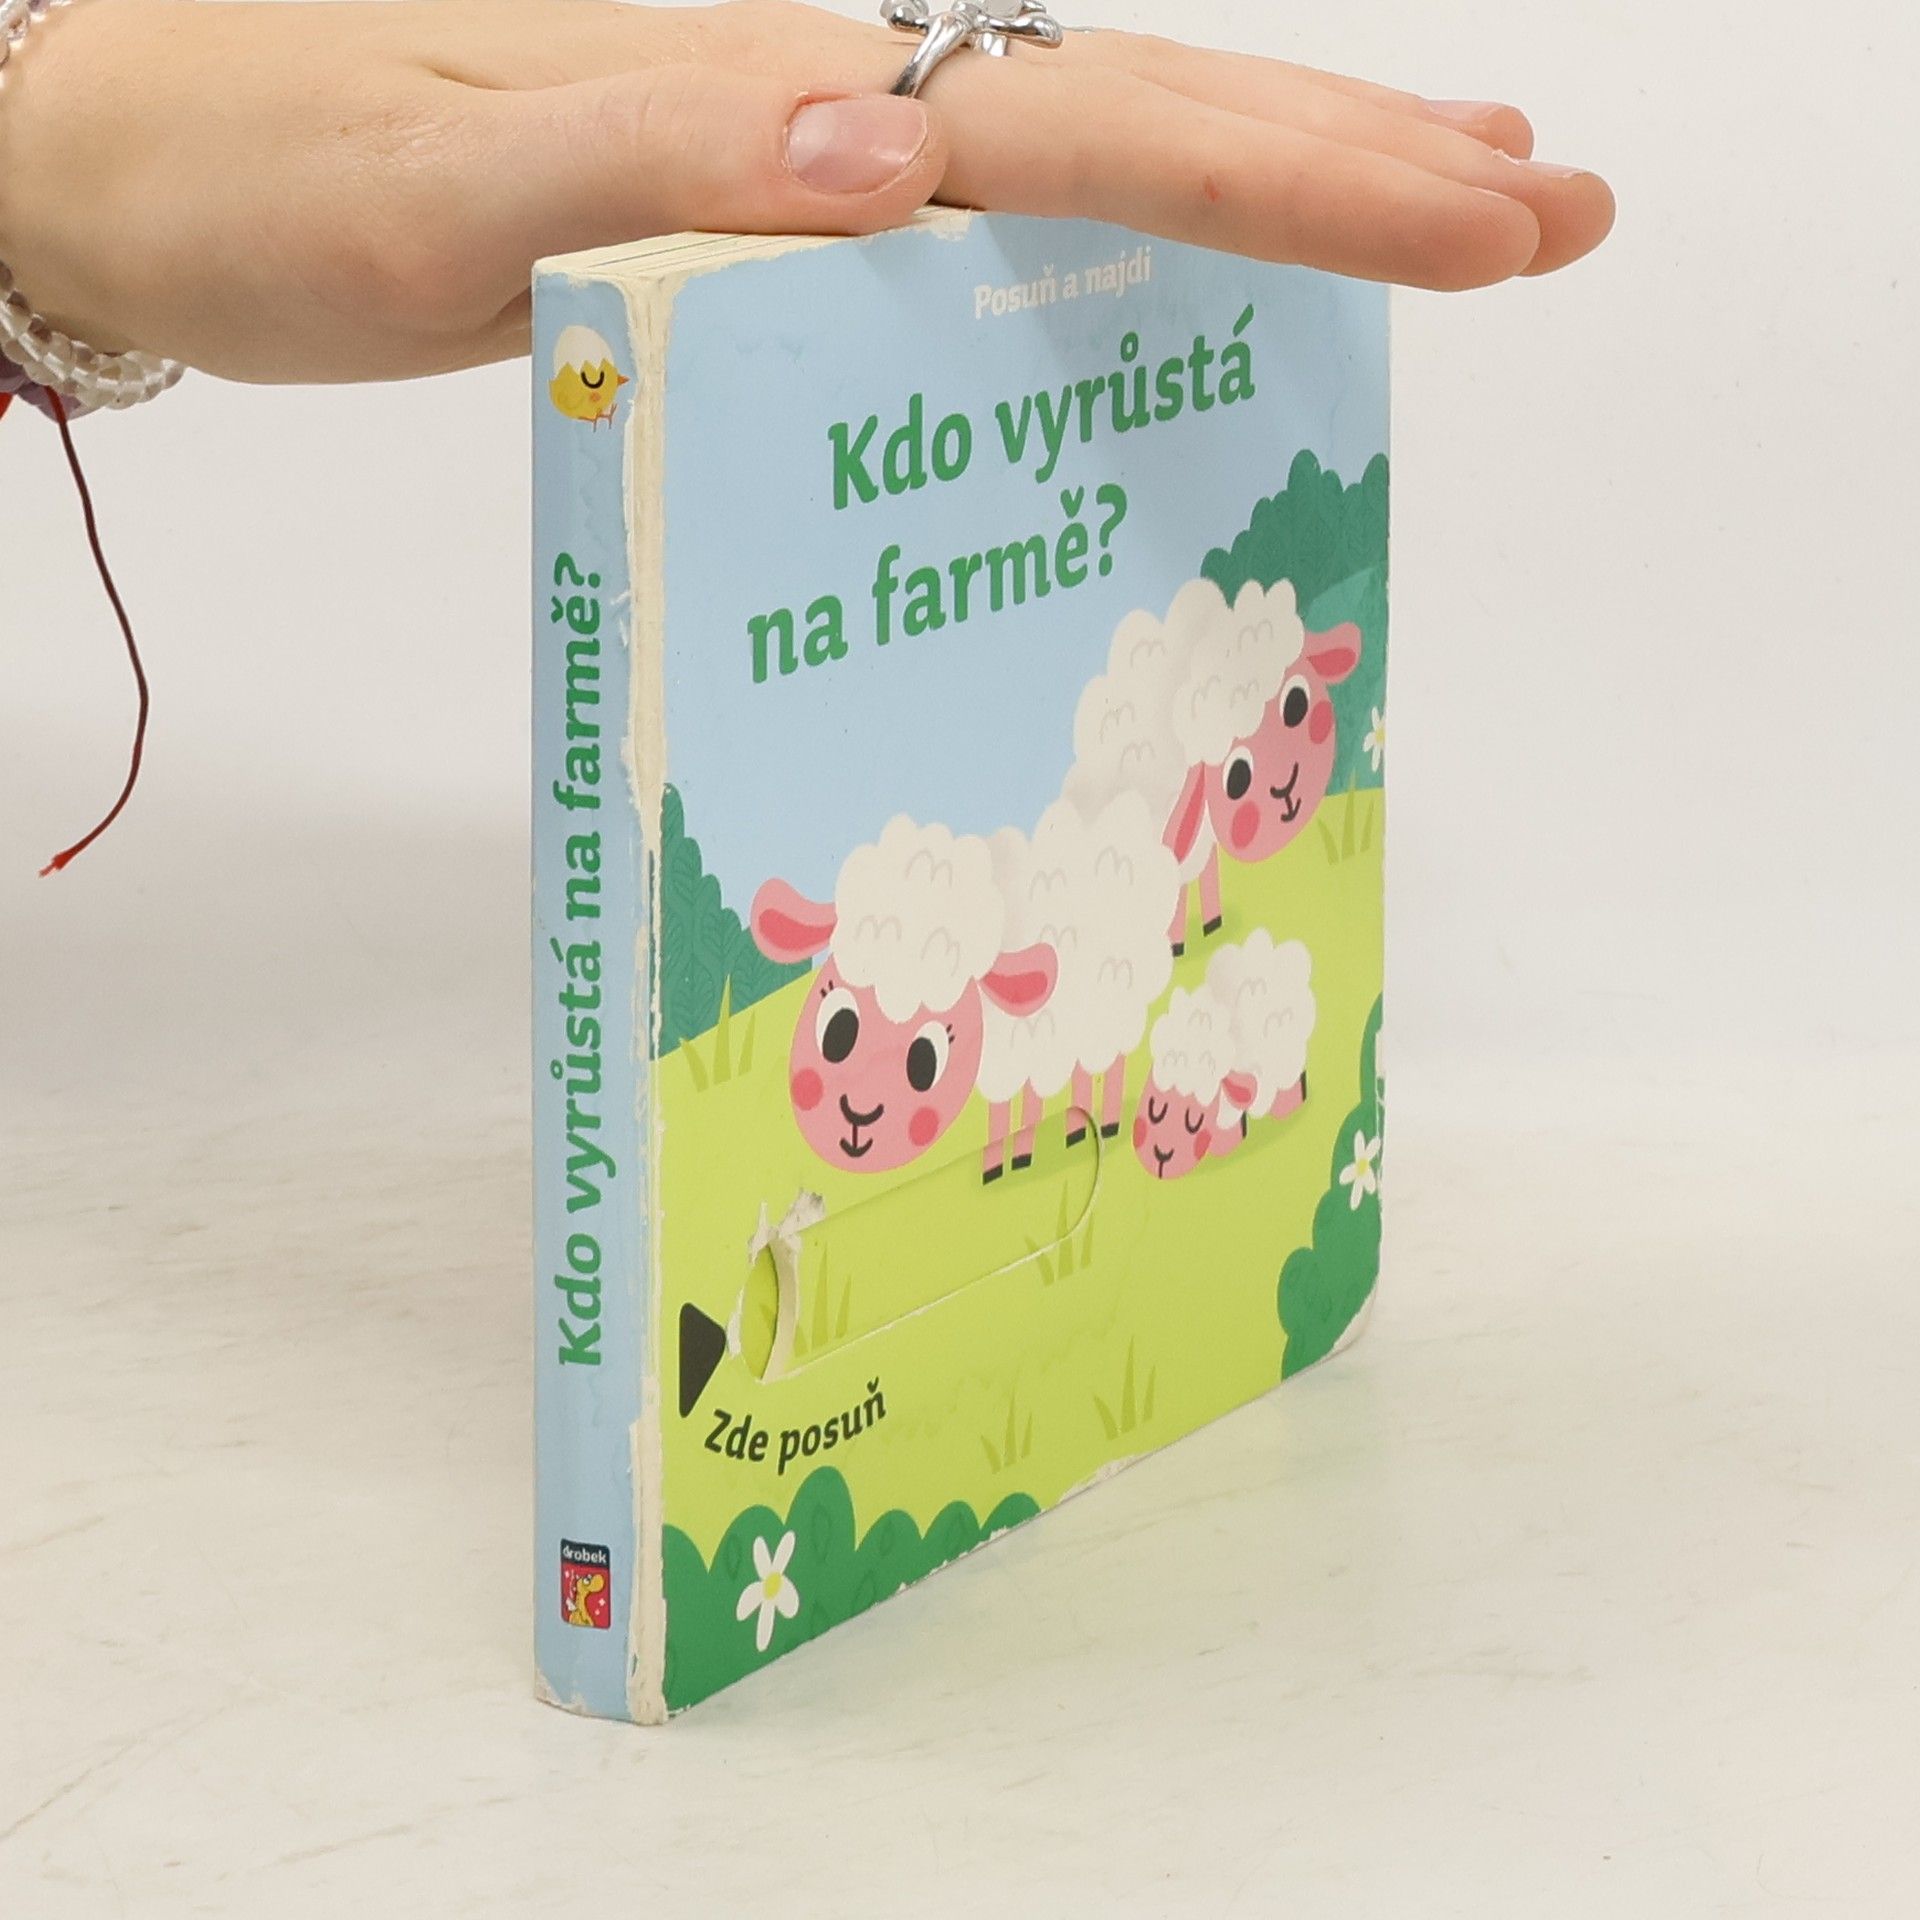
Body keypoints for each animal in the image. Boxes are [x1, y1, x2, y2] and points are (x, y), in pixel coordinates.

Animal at [1068, 578, 1365, 954]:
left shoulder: (1202, 845)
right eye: (1237, 777)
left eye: (1296, 703)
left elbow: (1209, 875)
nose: (1286, 787)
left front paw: (1212, 923)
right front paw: (1177, 947)